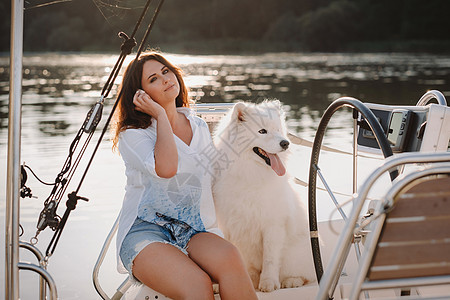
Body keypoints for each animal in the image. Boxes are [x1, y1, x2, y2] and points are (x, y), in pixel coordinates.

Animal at [212, 99, 314, 292]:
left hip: (297, 253)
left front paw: (268, 283)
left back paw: (291, 281)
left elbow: (271, 258)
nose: (285, 143)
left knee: (306, 275)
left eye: (278, 130)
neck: (250, 174)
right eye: (262, 131)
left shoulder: (273, 224)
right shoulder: (228, 224)